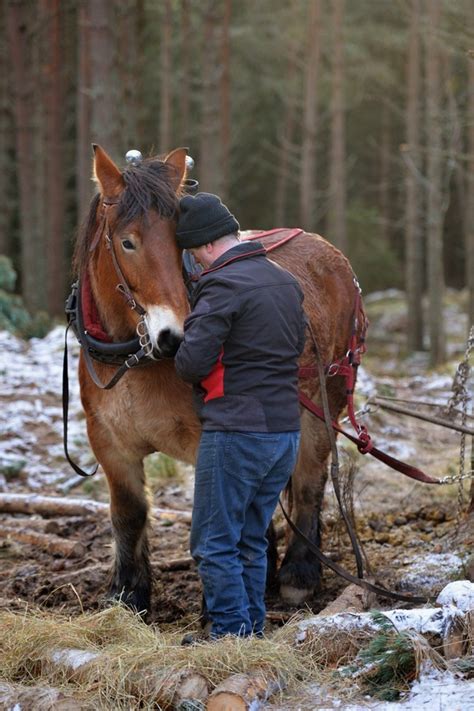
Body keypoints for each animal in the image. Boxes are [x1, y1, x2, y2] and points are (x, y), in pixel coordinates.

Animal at [72, 143, 364, 612]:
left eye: (180, 240)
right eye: (127, 242)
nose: (175, 337)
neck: (136, 358)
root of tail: (327, 250)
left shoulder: (213, 439)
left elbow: (218, 518)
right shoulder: (109, 443)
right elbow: (129, 514)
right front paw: (127, 595)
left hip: (324, 403)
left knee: (309, 480)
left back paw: (298, 573)